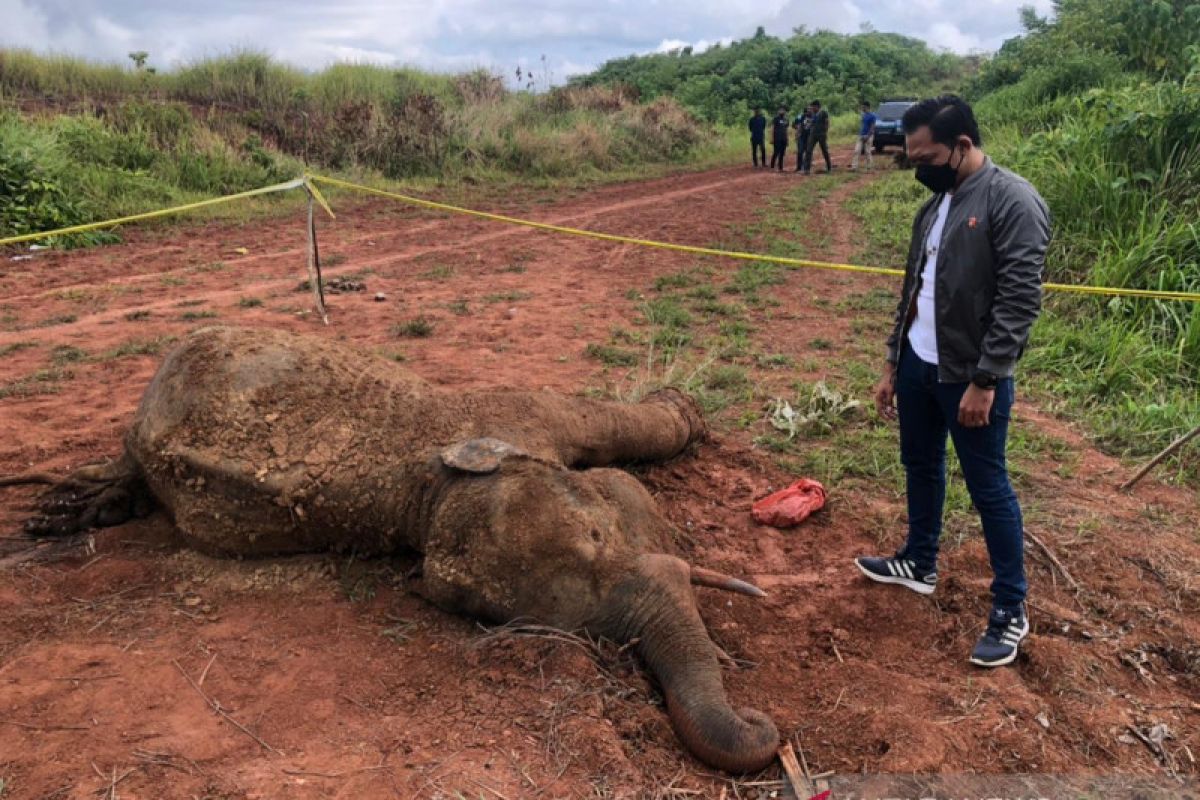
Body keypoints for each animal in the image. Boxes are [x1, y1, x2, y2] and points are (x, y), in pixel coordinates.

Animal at [14, 326, 782, 777]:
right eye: (567, 625)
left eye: (598, 535)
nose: (761, 722)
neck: (428, 486)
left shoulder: (512, 412)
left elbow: (597, 424)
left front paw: (687, 415)